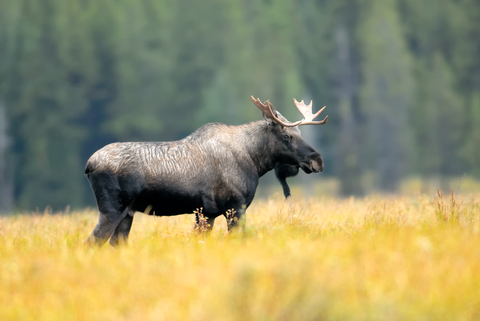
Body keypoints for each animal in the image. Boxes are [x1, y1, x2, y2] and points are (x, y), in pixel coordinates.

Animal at [84, 95, 328, 245]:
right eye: (287, 136)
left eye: (300, 134)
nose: (317, 160)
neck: (254, 159)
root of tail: (89, 165)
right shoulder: (235, 207)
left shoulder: (206, 213)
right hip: (112, 209)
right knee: (91, 243)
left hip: (128, 213)